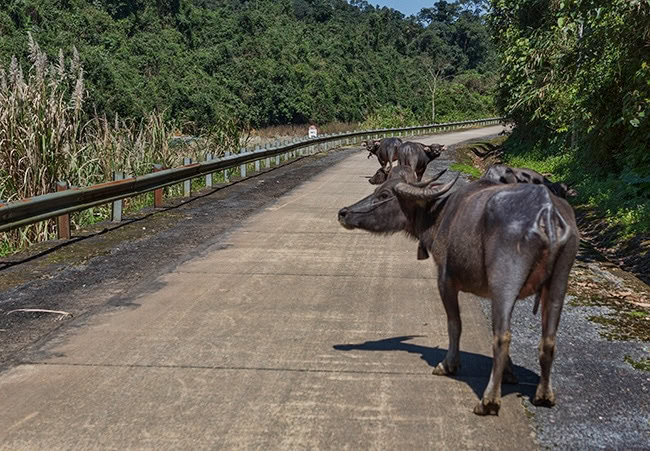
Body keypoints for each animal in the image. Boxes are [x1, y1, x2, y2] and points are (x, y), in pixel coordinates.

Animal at [336, 172, 576, 416]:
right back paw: (544, 395)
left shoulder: (446, 281)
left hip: (506, 279)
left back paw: (488, 400)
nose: (343, 212)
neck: (439, 216)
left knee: (502, 336)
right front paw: (509, 372)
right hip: (559, 280)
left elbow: (454, 324)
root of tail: (547, 211)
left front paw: (448, 364)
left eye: (384, 195)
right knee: (548, 338)